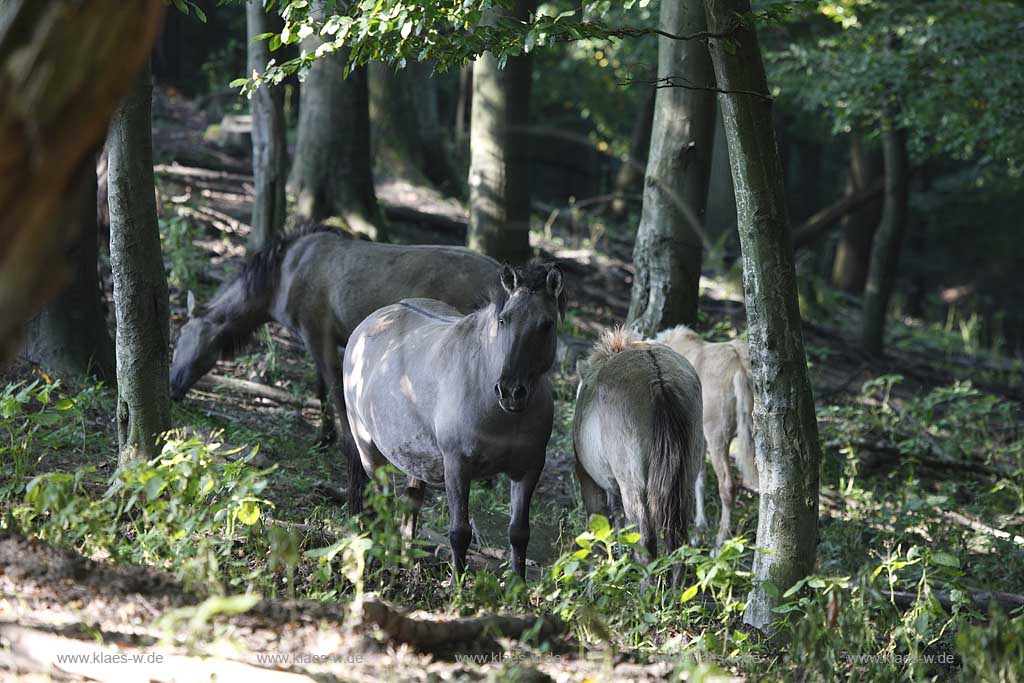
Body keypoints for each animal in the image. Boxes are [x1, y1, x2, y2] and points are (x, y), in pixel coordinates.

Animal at [171, 227, 499, 446]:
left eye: (180, 337)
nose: (172, 386)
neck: (275, 285)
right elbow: (320, 389)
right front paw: (324, 436)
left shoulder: (316, 331)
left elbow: (333, 388)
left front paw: (345, 440)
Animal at [344, 262, 569, 577]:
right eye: (504, 320)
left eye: (546, 324)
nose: (510, 391)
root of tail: (369, 323)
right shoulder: (457, 466)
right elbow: (460, 532)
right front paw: (458, 584)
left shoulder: (529, 469)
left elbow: (518, 533)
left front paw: (518, 584)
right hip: (368, 449)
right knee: (383, 503)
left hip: (416, 459)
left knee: (410, 504)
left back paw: (404, 563)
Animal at [573, 327, 708, 569]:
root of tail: (660, 382)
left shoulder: (588, 479)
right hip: (685, 484)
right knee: (677, 542)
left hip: (634, 490)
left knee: (646, 545)